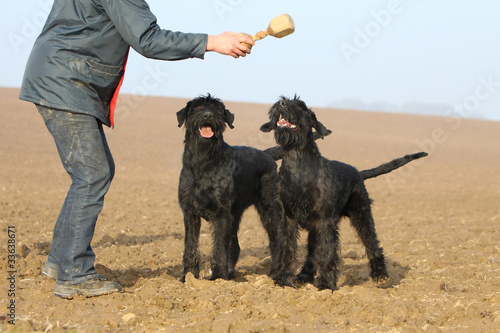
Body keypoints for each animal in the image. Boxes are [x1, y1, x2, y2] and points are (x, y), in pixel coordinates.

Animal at [178, 94, 284, 282]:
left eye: (216, 108)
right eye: (197, 107)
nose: (208, 115)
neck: (203, 161)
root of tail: (268, 155)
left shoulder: (221, 213)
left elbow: (220, 245)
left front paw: (218, 276)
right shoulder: (190, 212)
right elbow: (190, 244)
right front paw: (189, 275)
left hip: (269, 209)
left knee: (276, 240)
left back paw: (274, 272)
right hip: (235, 215)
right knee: (235, 246)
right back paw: (231, 272)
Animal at [260, 94, 428, 290]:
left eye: (301, 106)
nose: (281, 104)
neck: (298, 163)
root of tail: (358, 173)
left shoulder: (324, 220)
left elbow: (327, 251)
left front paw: (326, 284)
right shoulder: (287, 218)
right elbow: (286, 248)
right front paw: (283, 278)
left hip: (361, 214)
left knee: (372, 243)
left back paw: (380, 274)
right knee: (312, 252)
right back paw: (304, 276)